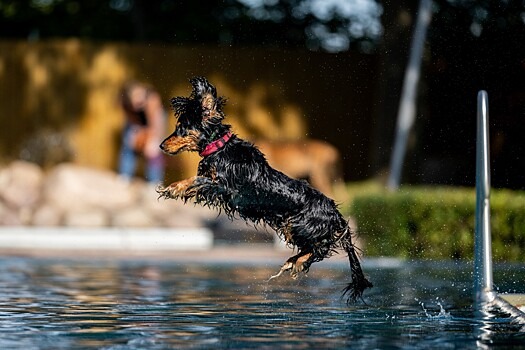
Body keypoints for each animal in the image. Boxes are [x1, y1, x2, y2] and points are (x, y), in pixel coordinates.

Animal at [157, 78, 372, 302]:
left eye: (181, 128)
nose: (161, 146)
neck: (221, 149)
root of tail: (335, 213)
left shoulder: (224, 187)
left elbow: (197, 180)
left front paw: (172, 188)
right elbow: (198, 181)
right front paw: (176, 189)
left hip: (298, 225)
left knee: (321, 247)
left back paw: (295, 262)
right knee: (316, 247)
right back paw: (294, 261)